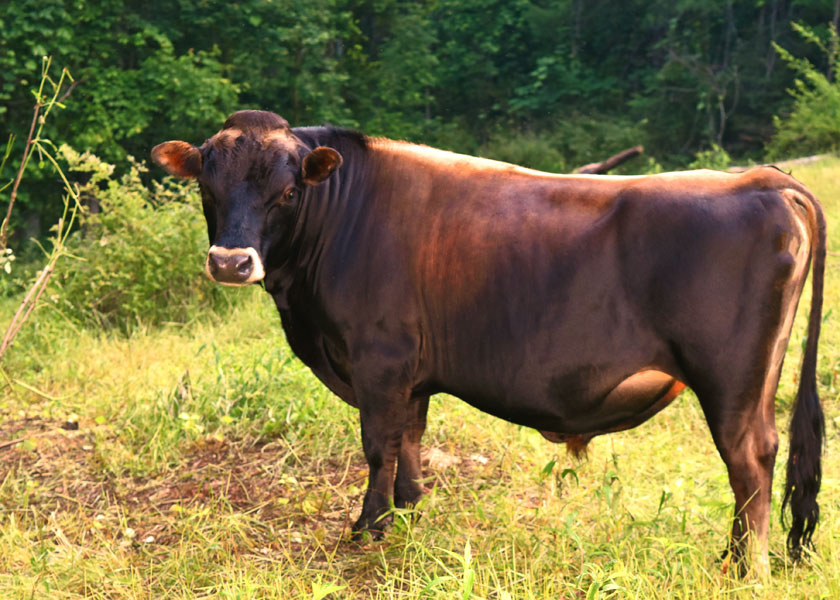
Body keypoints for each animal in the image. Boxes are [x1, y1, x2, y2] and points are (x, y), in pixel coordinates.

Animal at [152, 110, 826, 576]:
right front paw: (407, 514)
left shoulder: (378, 361)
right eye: (207, 188)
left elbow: (377, 445)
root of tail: (761, 180)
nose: (231, 262)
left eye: (288, 191)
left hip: (730, 381)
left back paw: (744, 569)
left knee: (749, 463)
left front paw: (367, 529)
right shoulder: (411, 373)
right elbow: (409, 443)